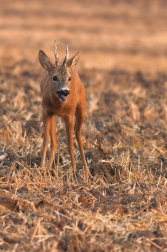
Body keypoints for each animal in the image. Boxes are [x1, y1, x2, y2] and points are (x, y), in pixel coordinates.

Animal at [38, 40, 91, 181]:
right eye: (54, 77)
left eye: (69, 78)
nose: (65, 91)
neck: (59, 106)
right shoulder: (46, 111)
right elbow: (46, 140)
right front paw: (42, 168)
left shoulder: (69, 115)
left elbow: (70, 145)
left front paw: (74, 171)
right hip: (54, 116)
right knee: (54, 141)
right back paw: (49, 168)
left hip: (81, 108)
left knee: (78, 135)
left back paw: (87, 173)